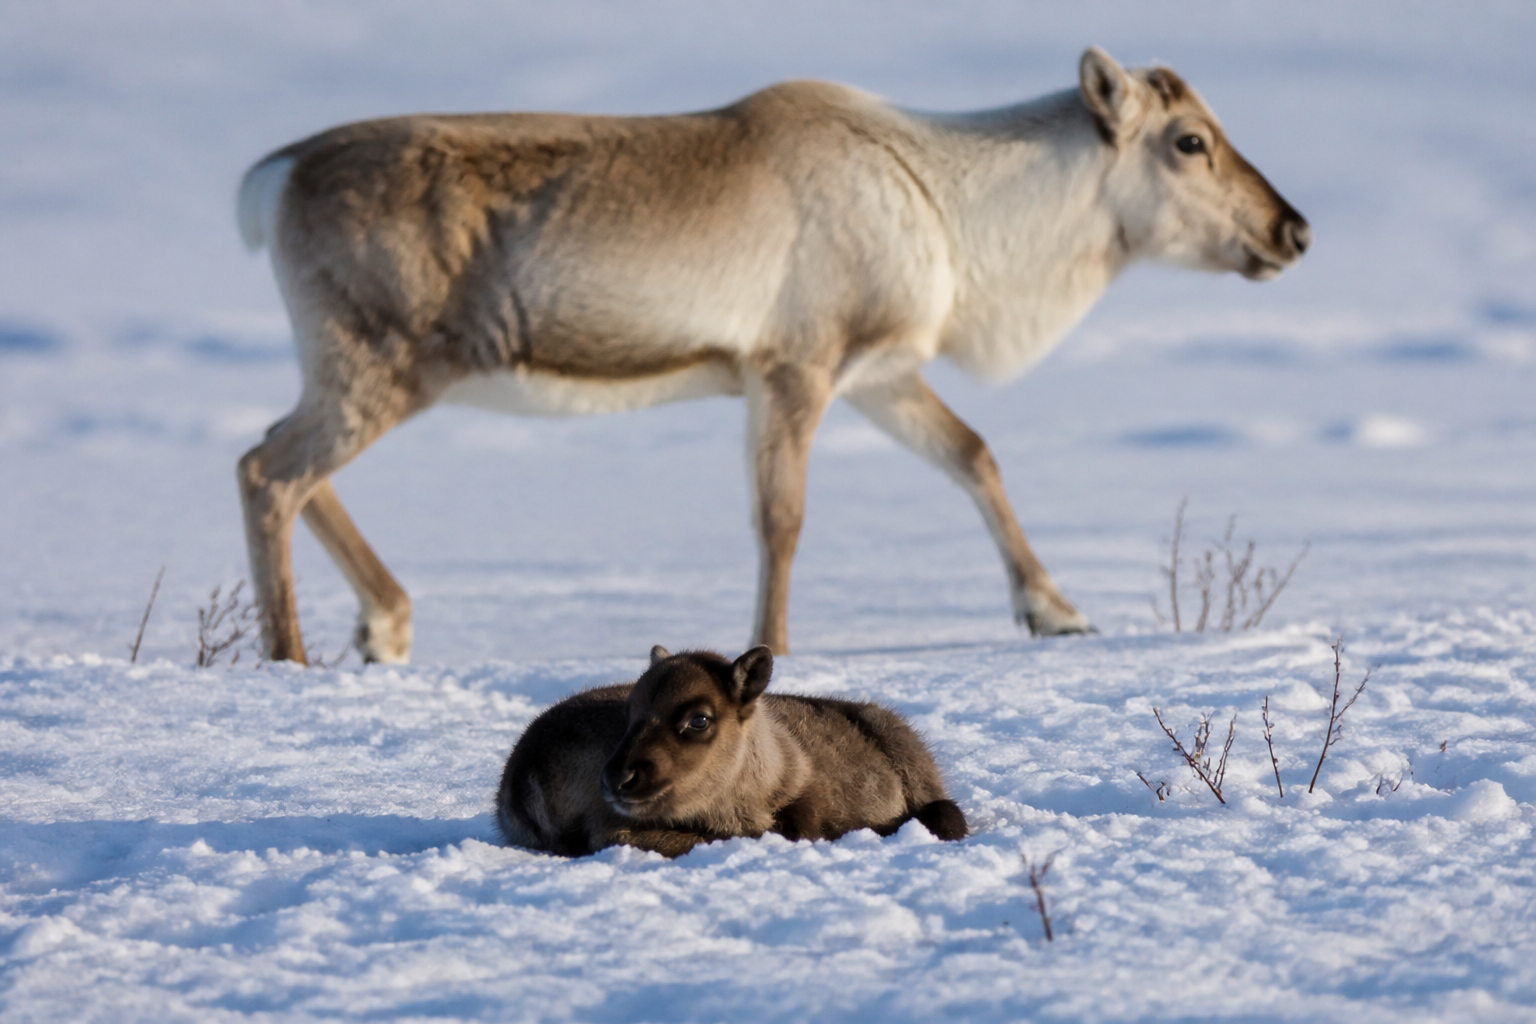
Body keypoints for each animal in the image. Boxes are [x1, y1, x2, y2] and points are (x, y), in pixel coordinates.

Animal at [236, 46, 1310, 664]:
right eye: (1189, 141)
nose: (1292, 230)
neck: (959, 217)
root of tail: (270, 177)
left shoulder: (880, 370)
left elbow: (974, 455)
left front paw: (1058, 611)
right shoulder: (795, 365)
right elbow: (782, 519)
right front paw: (773, 653)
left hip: (357, 369)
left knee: (280, 462)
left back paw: (383, 626)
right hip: (384, 364)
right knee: (268, 471)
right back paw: (291, 660)